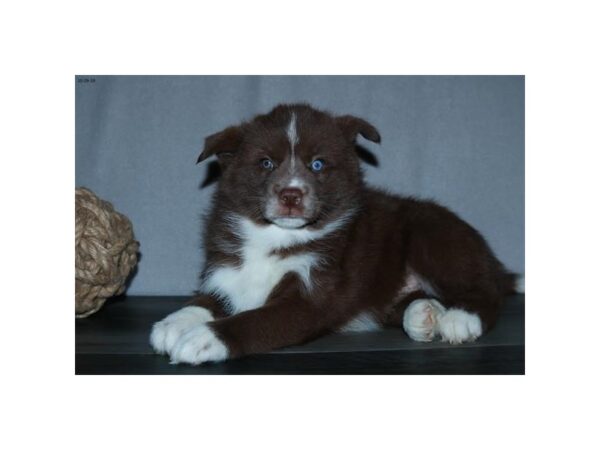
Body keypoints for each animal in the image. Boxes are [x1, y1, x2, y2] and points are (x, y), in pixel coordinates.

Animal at [149, 103, 516, 366]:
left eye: (318, 165)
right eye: (266, 163)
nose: (291, 195)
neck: (275, 239)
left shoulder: (314, 294)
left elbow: (256, 318)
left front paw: (203, 338)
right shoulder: (229, 270)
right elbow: (209, 299)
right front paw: (175, 322)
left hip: (435, 236)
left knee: (485, 289)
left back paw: (459, 318)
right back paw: (423, 315)